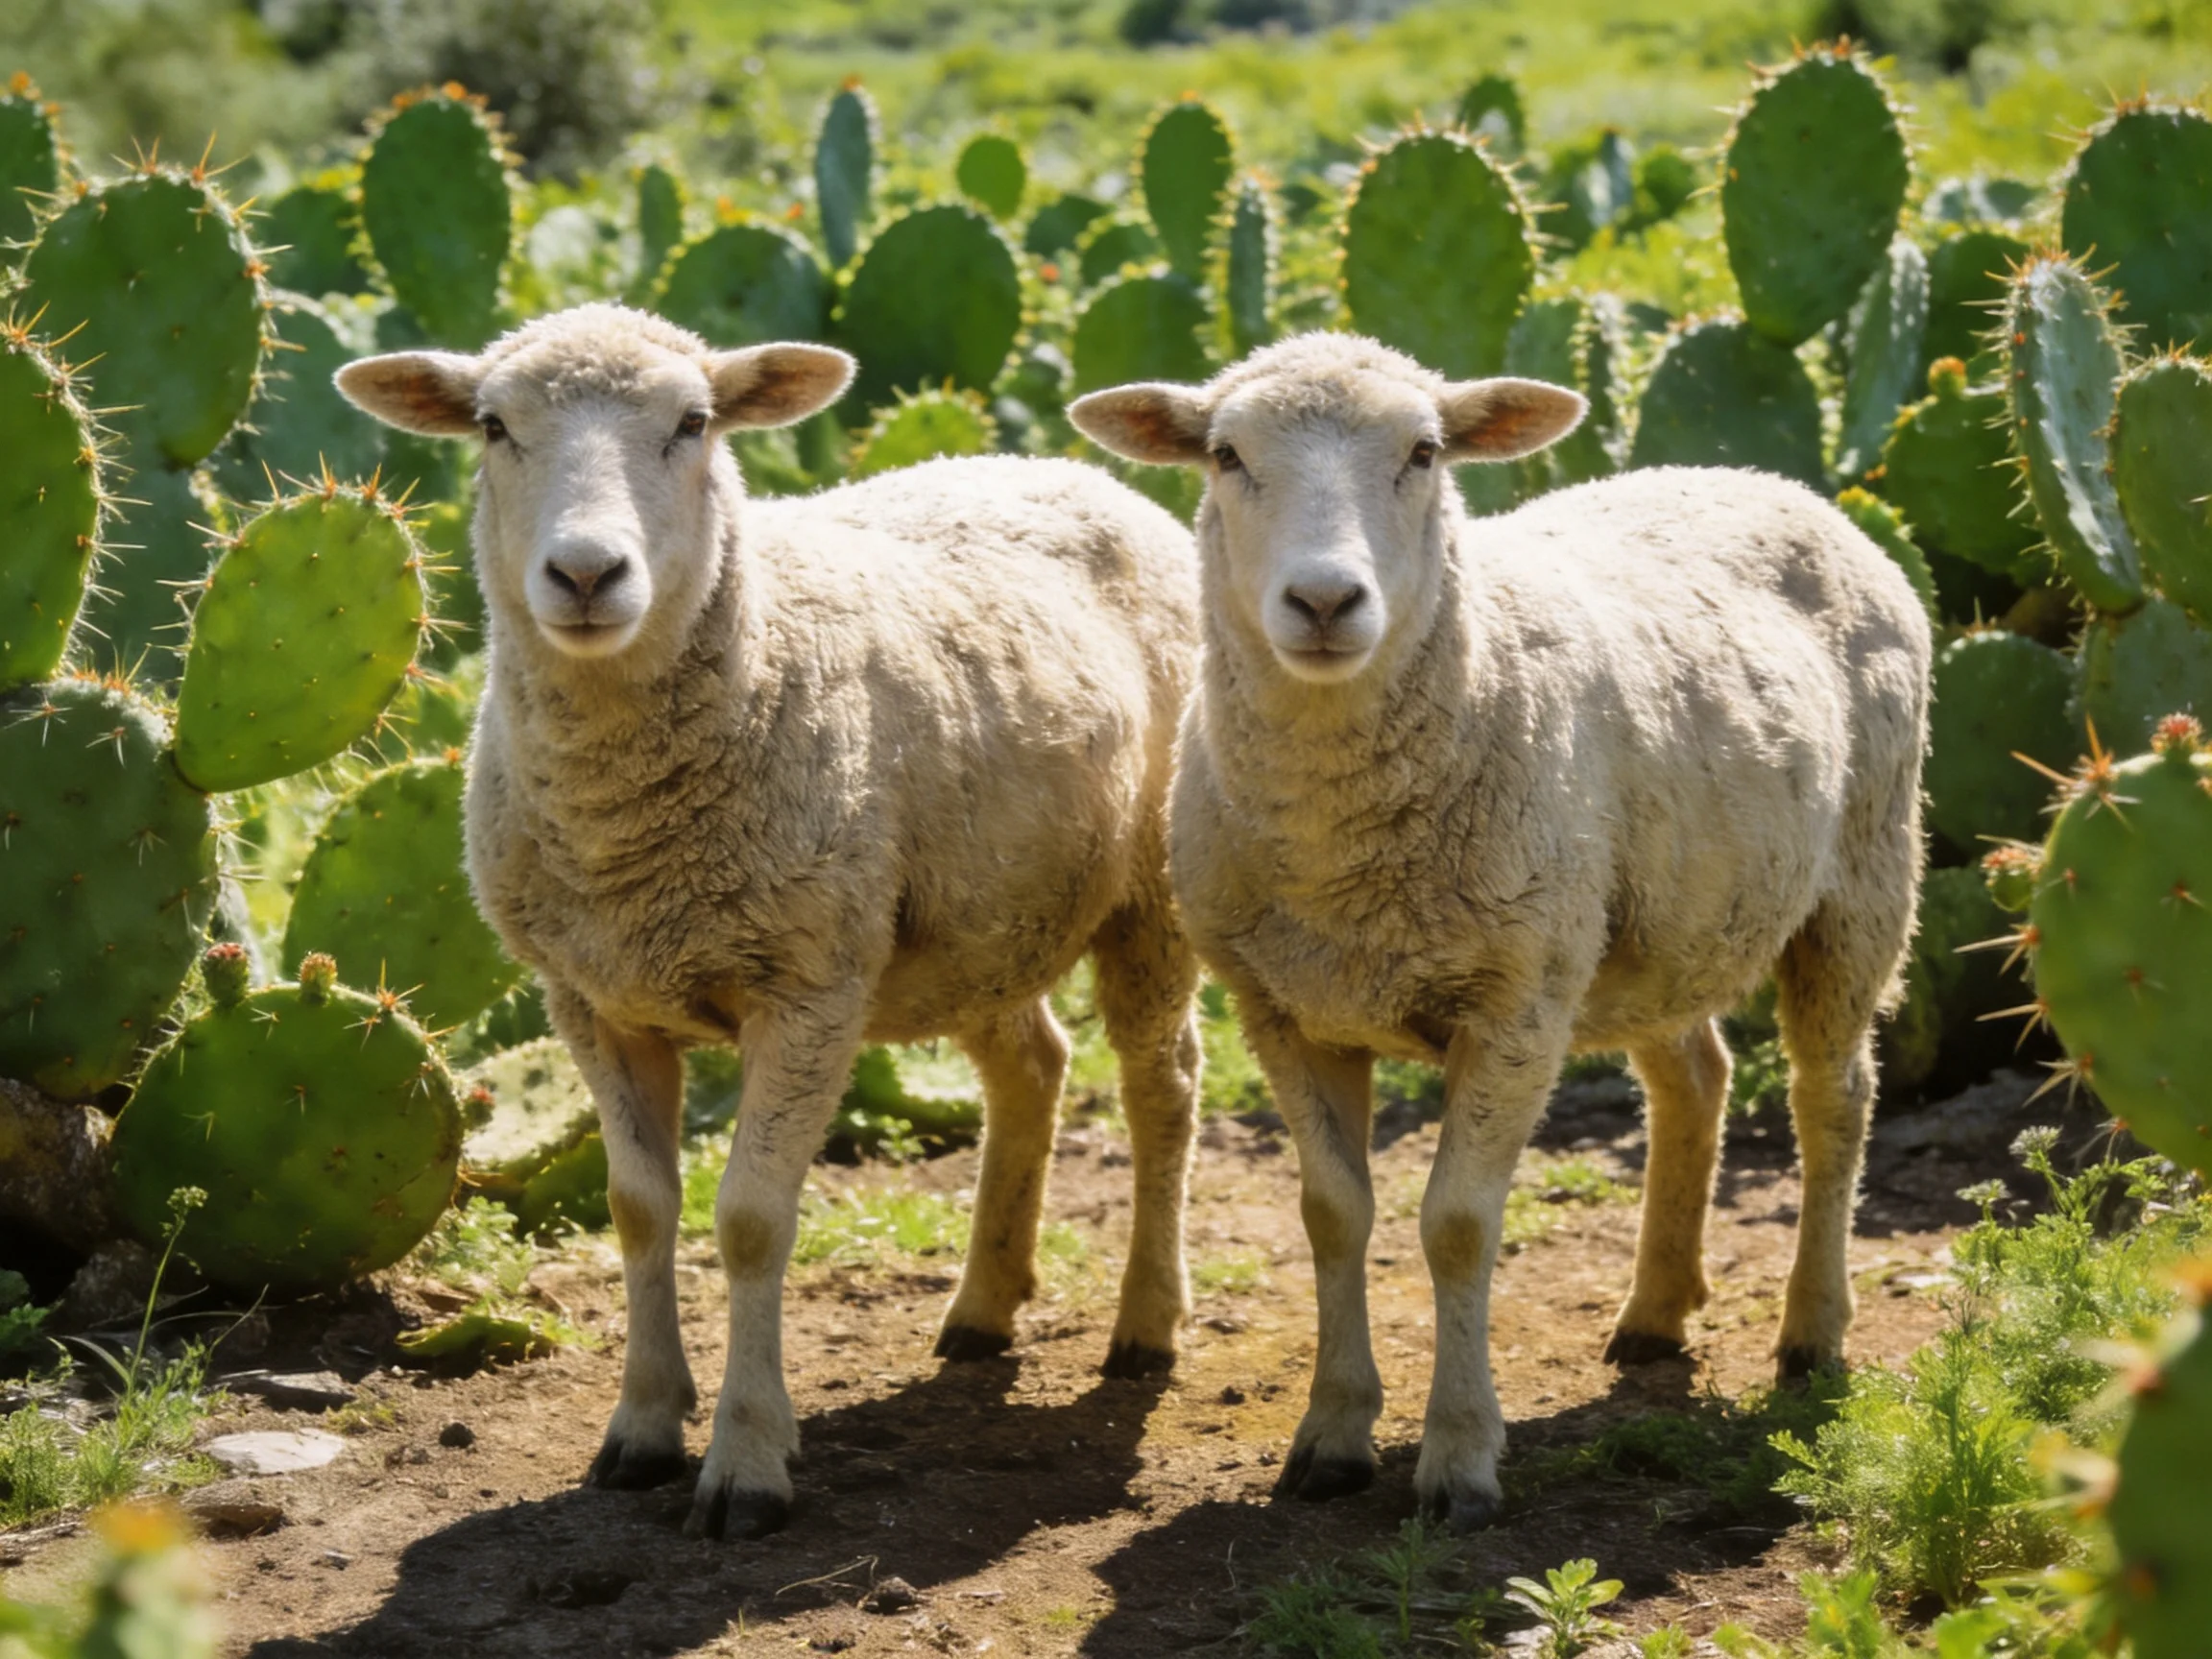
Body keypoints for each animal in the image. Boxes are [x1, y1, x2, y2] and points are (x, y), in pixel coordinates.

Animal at [336, 303, 1204, 1540]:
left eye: (693, 423)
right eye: (495, 427)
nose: (587, 573)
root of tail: (1068, 469)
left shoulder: (808, 985)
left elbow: (749, 1220)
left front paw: (746, 1461)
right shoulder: (589, 996)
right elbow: (638, 1209)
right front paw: (643, 1428)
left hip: (1145, 895)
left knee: (1159, 1086)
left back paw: (1146, 1324)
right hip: (974, 915)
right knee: (1032, 1065)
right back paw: (983, 1306)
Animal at [1069, 332, 1930, 1531]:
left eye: (1425, 452)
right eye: (1227, 456)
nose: (1325, 600)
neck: (1341, 846)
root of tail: (1769, 480)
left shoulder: (1515, 1003)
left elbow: (1458, 1226)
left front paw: (1461, 1458)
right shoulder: (1284, 1005)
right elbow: (1332, 1214)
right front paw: (1332, 1436)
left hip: (1859, 878)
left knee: (1833, 1099)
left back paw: (1812, 1335)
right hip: (1648, 921)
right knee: (1695, 1079)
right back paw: (1656, 1309)